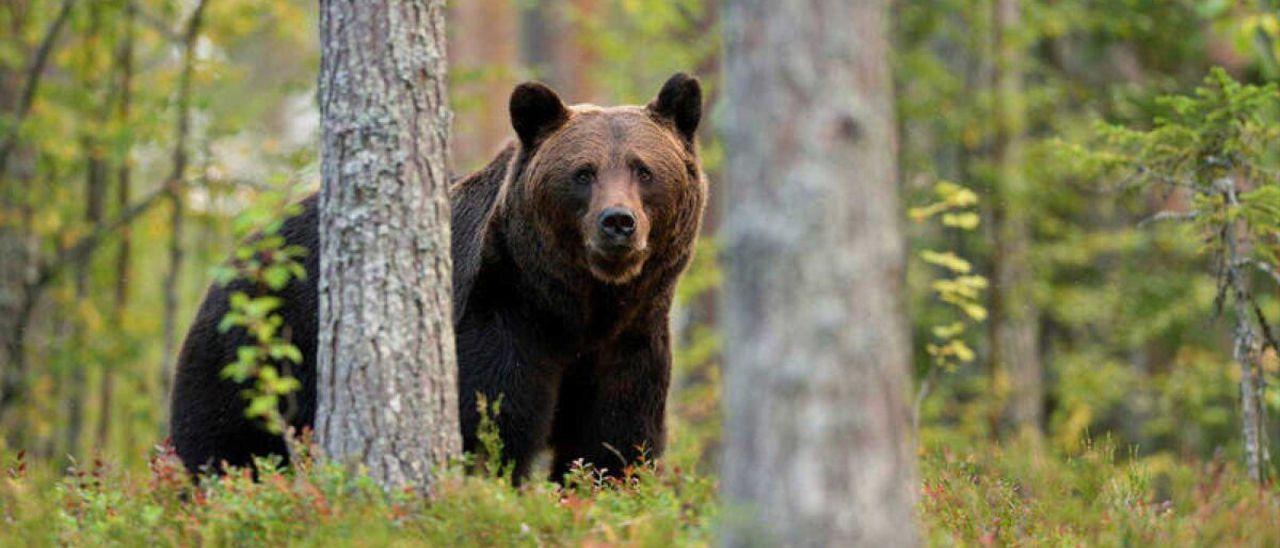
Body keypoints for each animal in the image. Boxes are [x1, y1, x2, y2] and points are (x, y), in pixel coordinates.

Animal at [167, 72, 711, 483]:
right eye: (583, 172)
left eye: (644, 170)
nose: (617, 222)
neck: (577, 307)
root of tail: (242, 254)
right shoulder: (500, 315)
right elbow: (491, 424)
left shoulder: (630, 340)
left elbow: (613, 442)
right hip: (255, 349)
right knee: (224, 444)